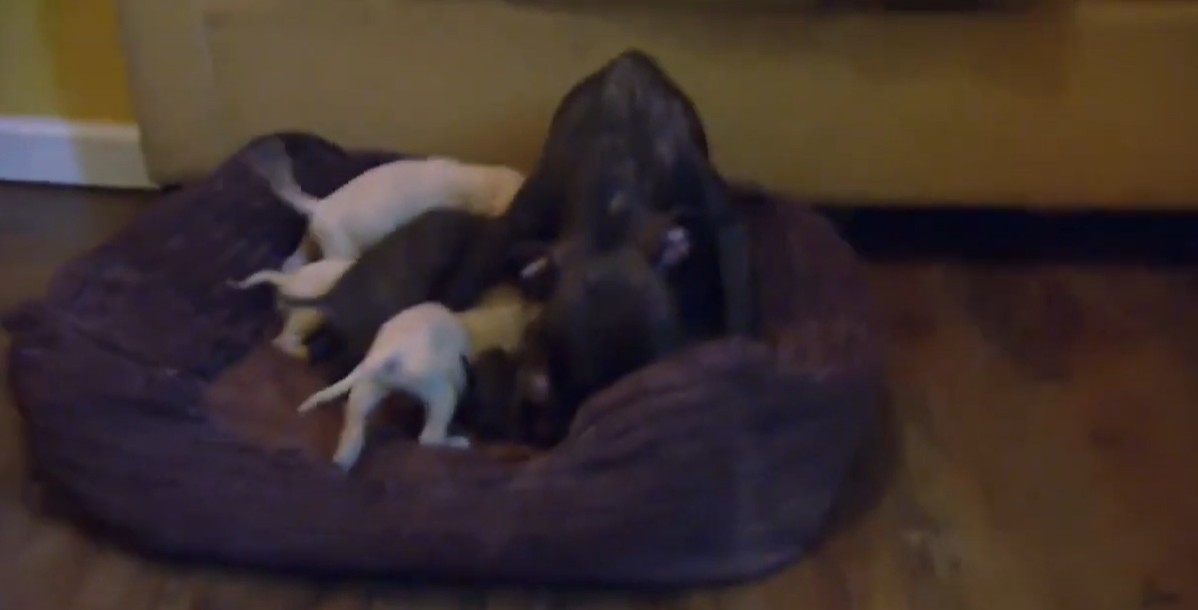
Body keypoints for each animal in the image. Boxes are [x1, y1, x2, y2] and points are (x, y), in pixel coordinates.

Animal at [296, 286, 539, 470]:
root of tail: (389, 354)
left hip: (365, 392)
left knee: (351, 436)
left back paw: (340, 466)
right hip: (443, 394)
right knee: (428, 438)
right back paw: (456, 442)